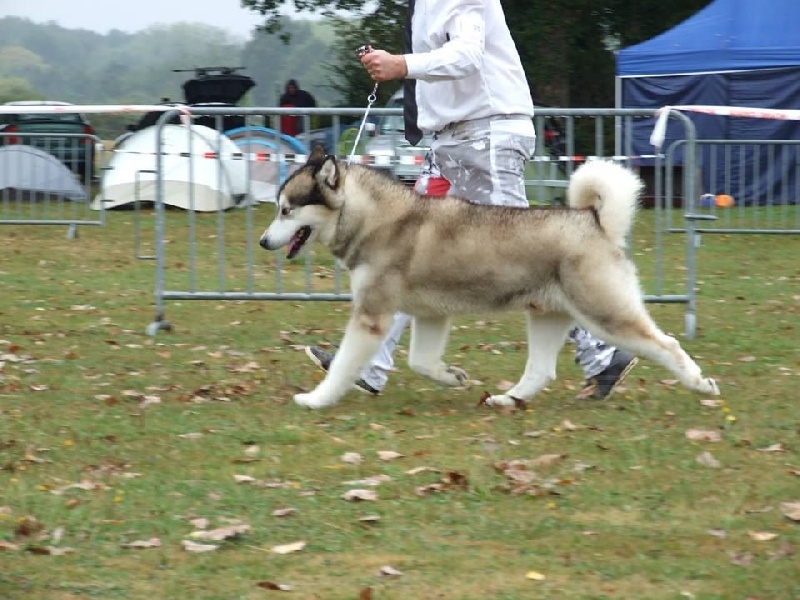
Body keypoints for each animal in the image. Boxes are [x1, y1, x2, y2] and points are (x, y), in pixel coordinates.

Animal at [258, 145, 720, 408]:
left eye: (286, 210)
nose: (263, 241)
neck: (375, 219)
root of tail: (593, 218)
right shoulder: (429, 315)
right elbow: (420, 361)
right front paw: (452, 376)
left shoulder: (373, 316)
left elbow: (342, 368)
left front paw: (316, 399)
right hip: (548, 315)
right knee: (541, 371)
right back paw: (507, 399)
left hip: (606, 314)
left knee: (666, 344)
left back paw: (701, 384)